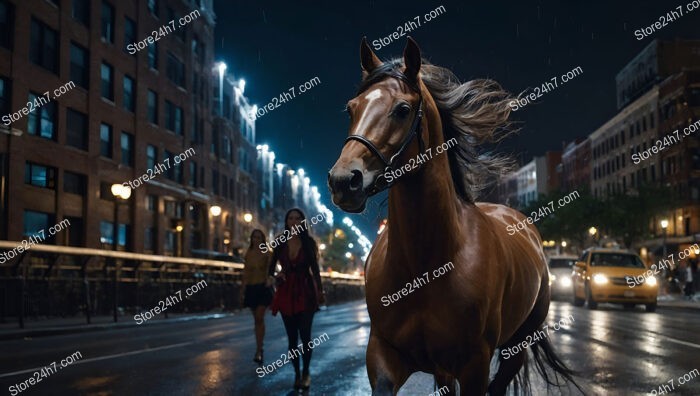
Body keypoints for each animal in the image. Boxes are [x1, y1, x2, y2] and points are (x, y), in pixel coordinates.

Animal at [328, 38, 580, 396]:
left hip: (515, 347)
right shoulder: (383, 355)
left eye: (402, 110)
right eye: (352, 108)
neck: (426, 267)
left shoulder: (475, 364)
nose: (343, 181)